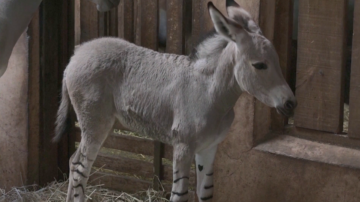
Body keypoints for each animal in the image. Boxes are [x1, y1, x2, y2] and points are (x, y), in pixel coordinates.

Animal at [53, 0, 296, 201]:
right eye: (260, 65)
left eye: (277, 60)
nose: (291, 104)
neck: (211, 92)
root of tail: (77, 54)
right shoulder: (183, 148)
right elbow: (179, 195)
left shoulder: (209, 147)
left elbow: (205, 194)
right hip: (95, 123)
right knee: (79, 168)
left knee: (74, 162)